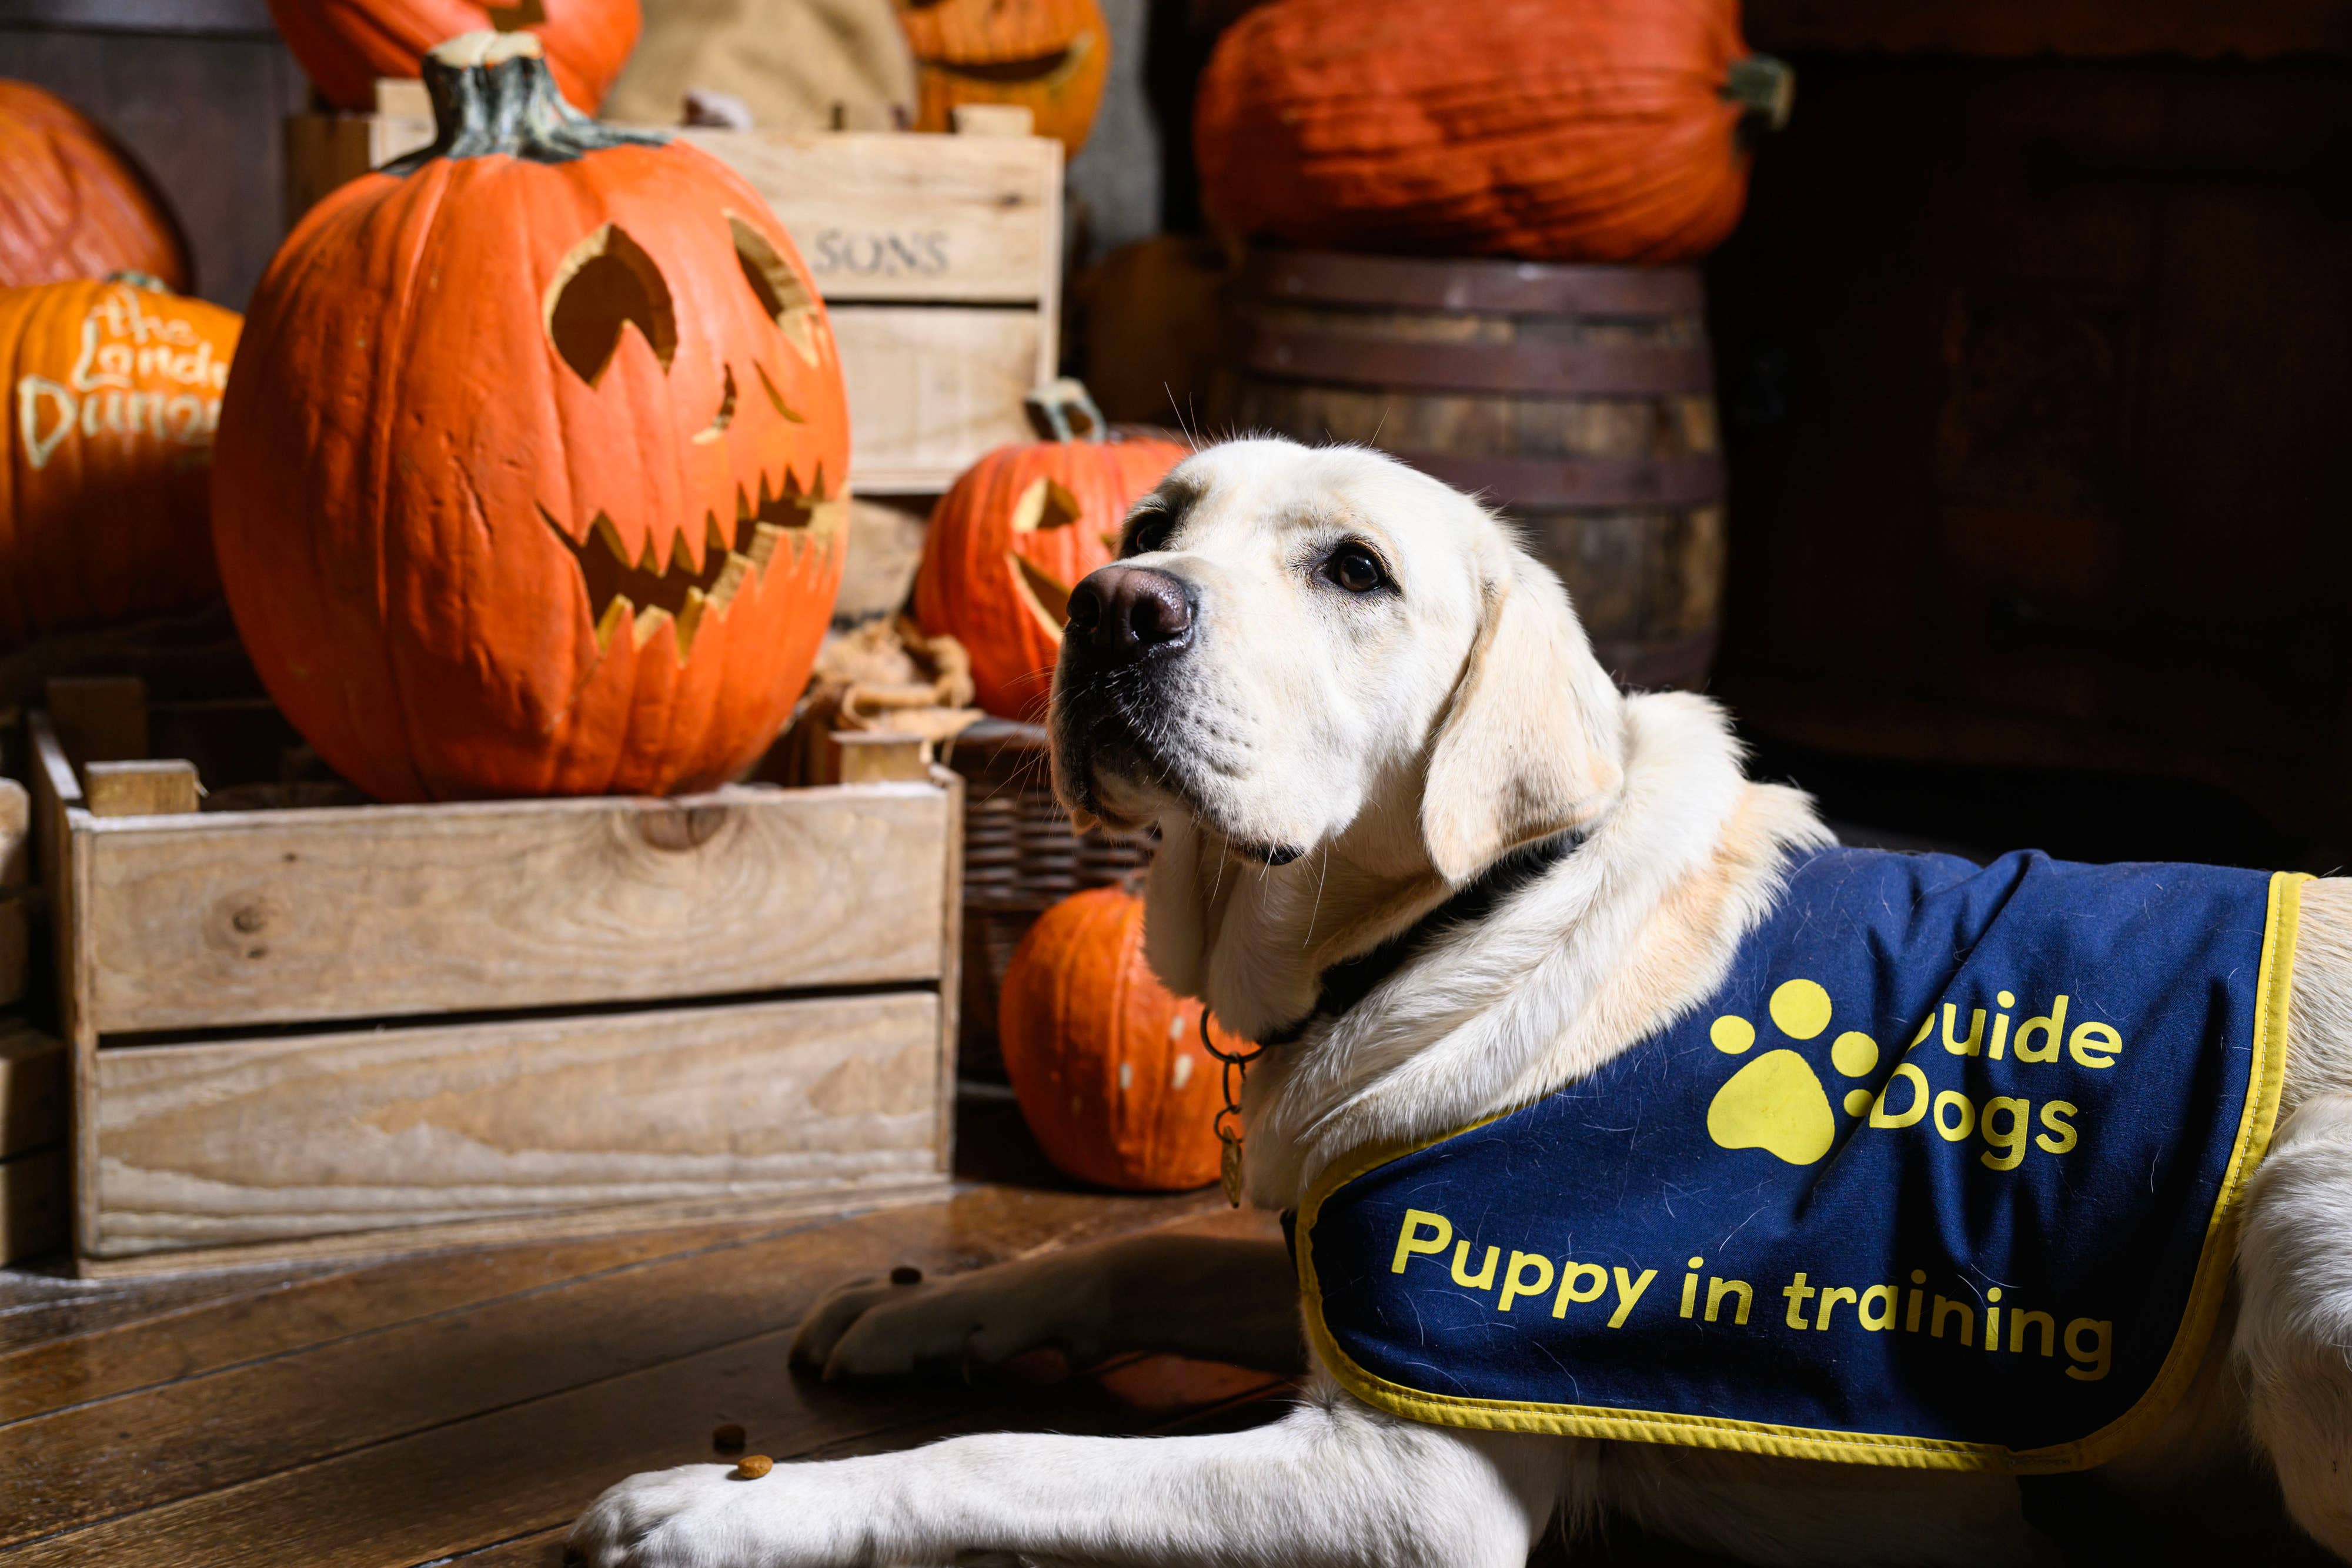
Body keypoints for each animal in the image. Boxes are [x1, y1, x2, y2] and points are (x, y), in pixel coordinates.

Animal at [579, 442, 2352, 1568]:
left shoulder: (1415, 1469)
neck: (1455, 924)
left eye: (1356, 570)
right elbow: (1130, 1250)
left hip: (2298, 1240)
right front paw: (916, 1312)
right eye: (1153, 514)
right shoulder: (1347, 1292)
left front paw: (724, 1505)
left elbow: (1007, 1462)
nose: (1113, 602)